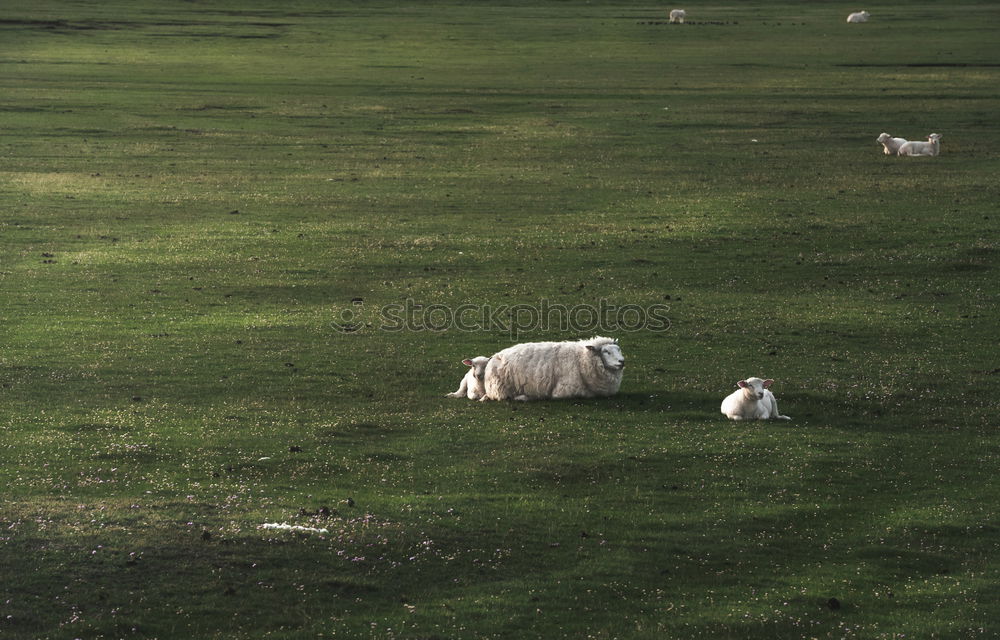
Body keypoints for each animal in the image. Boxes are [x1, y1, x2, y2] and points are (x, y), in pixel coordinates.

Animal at [478, 338, 624, 402]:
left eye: (618, 349)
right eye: (606, 351)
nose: (622, 362)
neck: (581, 359)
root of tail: (494, 356)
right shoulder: (565, 390)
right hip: (501, 389)